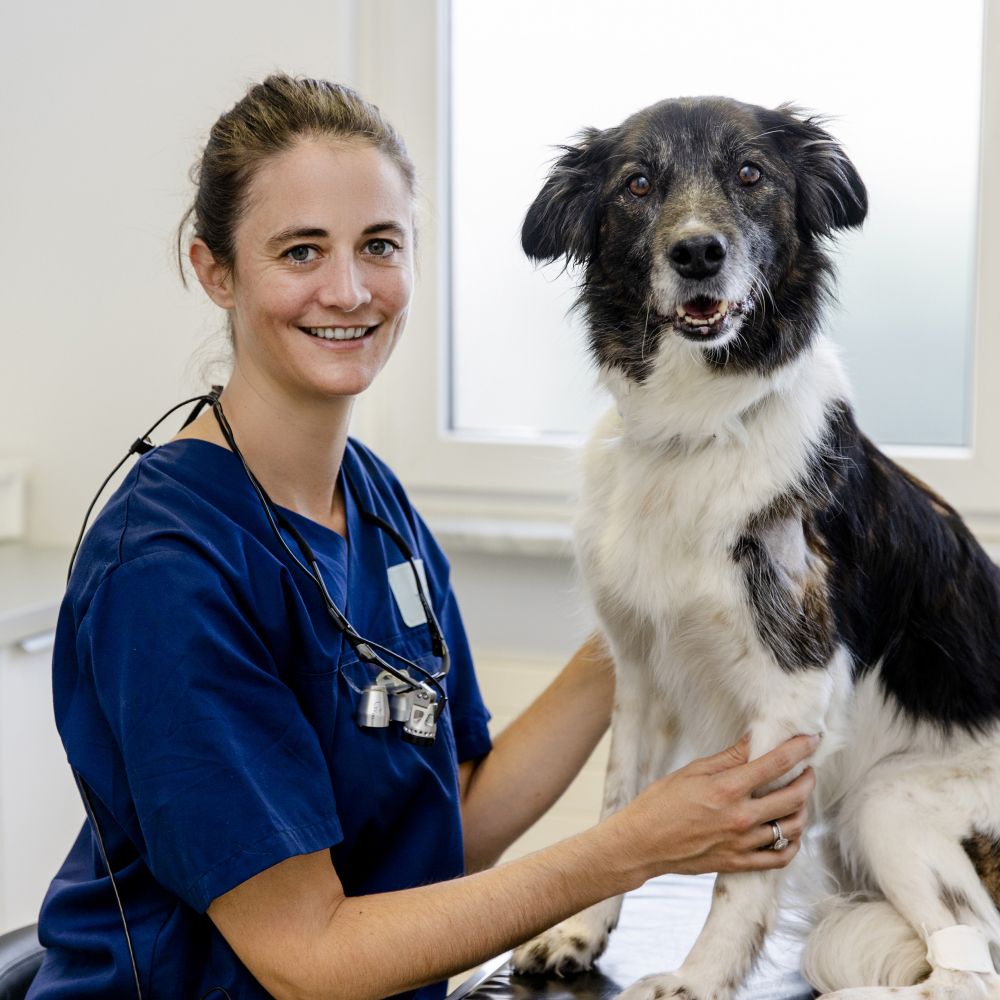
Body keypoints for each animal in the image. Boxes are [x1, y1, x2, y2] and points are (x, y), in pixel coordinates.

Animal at [512, 95, 1000, 1000]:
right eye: (637, 185)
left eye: (750, 174)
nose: (698, 251)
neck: (698, 430)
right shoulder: (641, 673)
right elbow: (616, 809)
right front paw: (579, 931)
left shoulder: (792, 689)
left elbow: (741, 874)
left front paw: (697, 978)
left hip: (890, 801)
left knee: (971, 967)